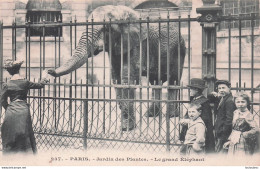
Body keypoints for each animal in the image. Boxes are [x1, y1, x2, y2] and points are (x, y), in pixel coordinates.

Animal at [47, 4, 186, 131]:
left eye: (106, 28)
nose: (49, 70)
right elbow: (116, 78)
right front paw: (124, 123)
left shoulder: (137, 45)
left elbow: (127, 79)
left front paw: (126, 128)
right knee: (155, 82)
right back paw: (151, 115)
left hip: (179, 51)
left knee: (173, 80)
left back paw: (171, 115)